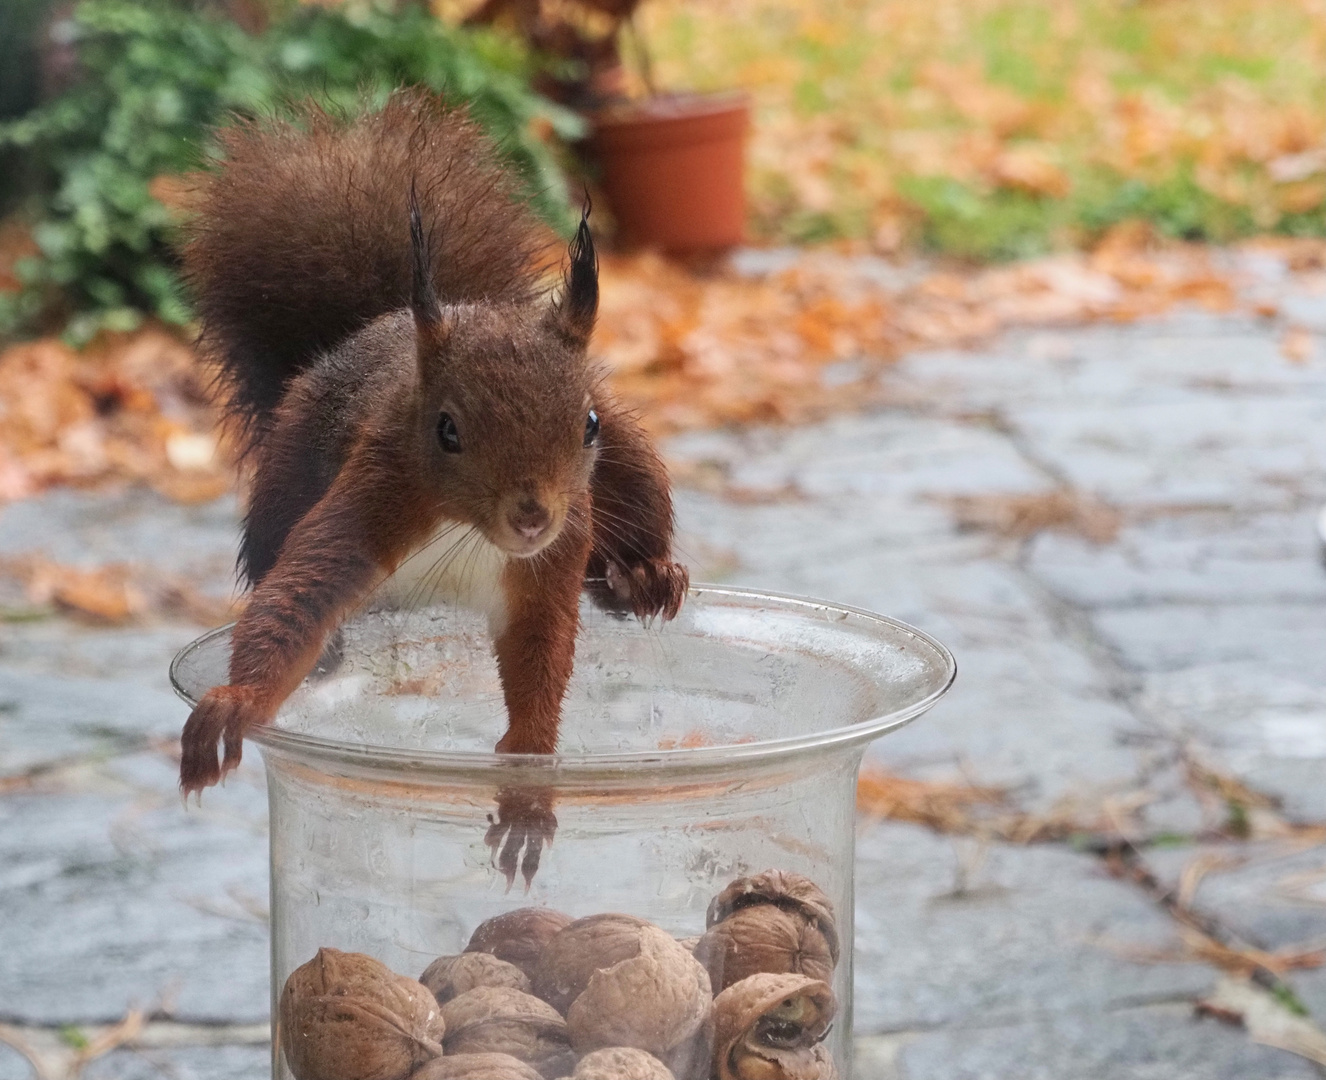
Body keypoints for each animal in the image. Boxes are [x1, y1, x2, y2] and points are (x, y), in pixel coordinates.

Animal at [180, 92, 689, 817]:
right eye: (446, 430)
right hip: (285, 476)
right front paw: (235, 702)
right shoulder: (377, 495)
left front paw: (529, 768)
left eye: (587, 423)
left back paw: (643, 575)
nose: (531, 517)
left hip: (632, 466)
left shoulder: (560, 546)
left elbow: (543, 642)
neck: (468, 531)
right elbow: (299, 596)